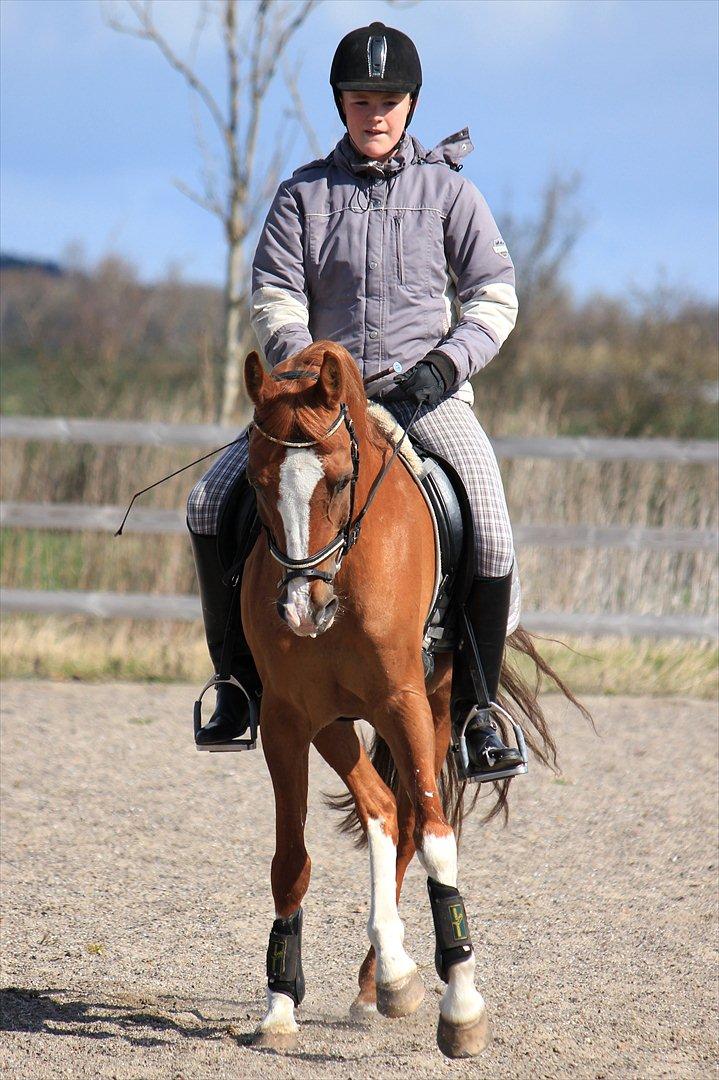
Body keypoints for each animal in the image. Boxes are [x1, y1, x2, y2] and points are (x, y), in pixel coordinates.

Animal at [241, 339, 582, 1058]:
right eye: (256, 483)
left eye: (340, 480)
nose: (302, 610)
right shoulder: (288, 717)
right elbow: (291, 860)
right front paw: (279, 1005)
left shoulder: (403, 704)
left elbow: (433, 837)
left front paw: (461, 1007)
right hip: (336, 721)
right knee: (379, 808)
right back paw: (386, 978)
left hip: (432, 707)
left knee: (405, 820)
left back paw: (390, 981)